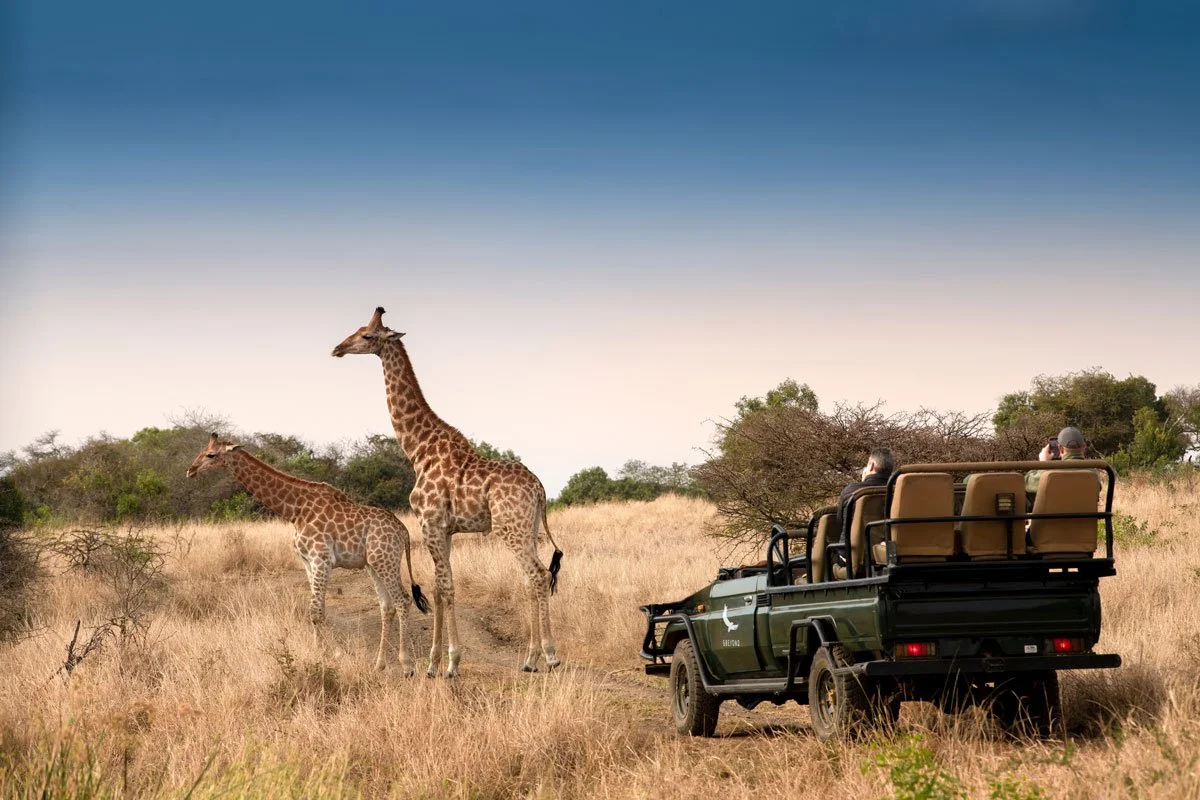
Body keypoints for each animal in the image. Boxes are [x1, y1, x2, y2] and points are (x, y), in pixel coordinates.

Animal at [185, 433, 429, 674]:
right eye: (202, 450)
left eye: (211, 454)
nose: (191, 470)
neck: (295, 510)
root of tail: (404, 532)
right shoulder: (307, 561)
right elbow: (317, 610)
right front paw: (321, 653)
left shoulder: (321, 559)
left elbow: (316, 611)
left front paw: (332, 654)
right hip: (373, 564)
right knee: (387, 607)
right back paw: (379, 665)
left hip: (385, 559)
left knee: (403, 600)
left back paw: (407, 665)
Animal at [332, 307, 563, 677]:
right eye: (356, 329)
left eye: (367, 335)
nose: (337, 348)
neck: (418, 449)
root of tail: (540, 489)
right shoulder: (445, 528)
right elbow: (439, 588)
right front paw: (432, 663)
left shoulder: (430, 522)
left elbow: (446, 586)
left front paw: (452, 662)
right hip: (526, 528)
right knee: (532, 579)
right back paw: (529, 660)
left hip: (510, 528)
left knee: (538, 576)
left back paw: (550, 655)